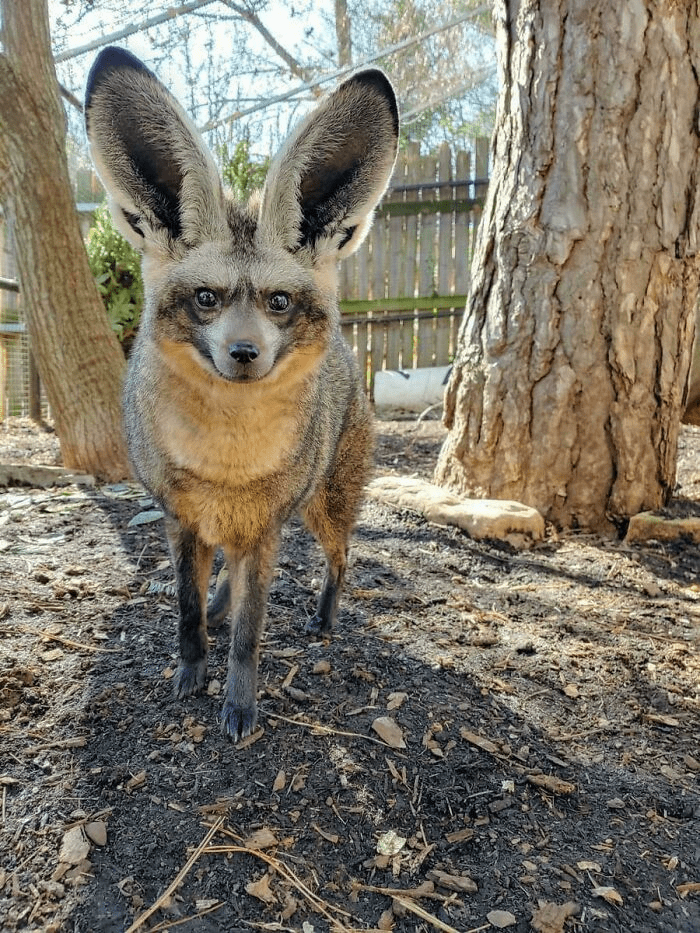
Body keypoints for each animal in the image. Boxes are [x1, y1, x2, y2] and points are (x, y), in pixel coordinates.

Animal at [85, 45, 400, 744]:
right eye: (207, 297)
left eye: (278, 303)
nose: (245, 355)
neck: (226, 463)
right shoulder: (182, 520)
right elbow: (186, 613)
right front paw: (190, 673)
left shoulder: (262, 530)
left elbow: (251, 636)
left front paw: (239, 705)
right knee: (228, 579)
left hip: (323, 510)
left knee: (342, 558)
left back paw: (325, 618)